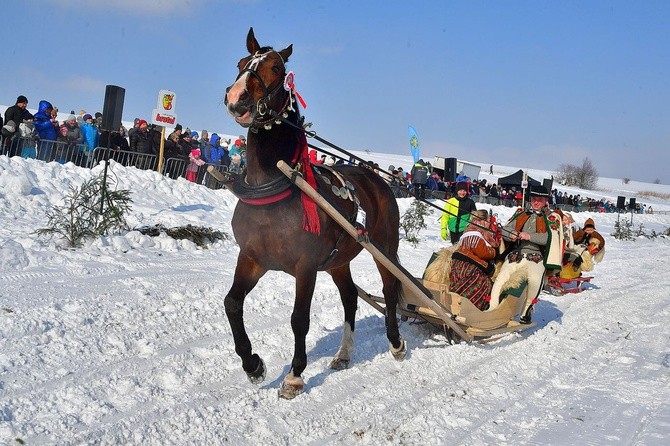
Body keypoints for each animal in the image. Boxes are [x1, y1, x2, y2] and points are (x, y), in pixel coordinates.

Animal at [224, 27, 404, 398]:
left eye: (277, 68)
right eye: (240, 62)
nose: (237, 99)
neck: (275, 186)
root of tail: (375, 177)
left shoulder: (305, 267)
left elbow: (299, 319)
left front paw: (294, 375)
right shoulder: (252, 258)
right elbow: (232, 303)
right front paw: (253, 365)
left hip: (384, 246)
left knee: (391, 291)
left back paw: (395, 343)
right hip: (339, 260)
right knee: (350, 297)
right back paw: (344, 353)